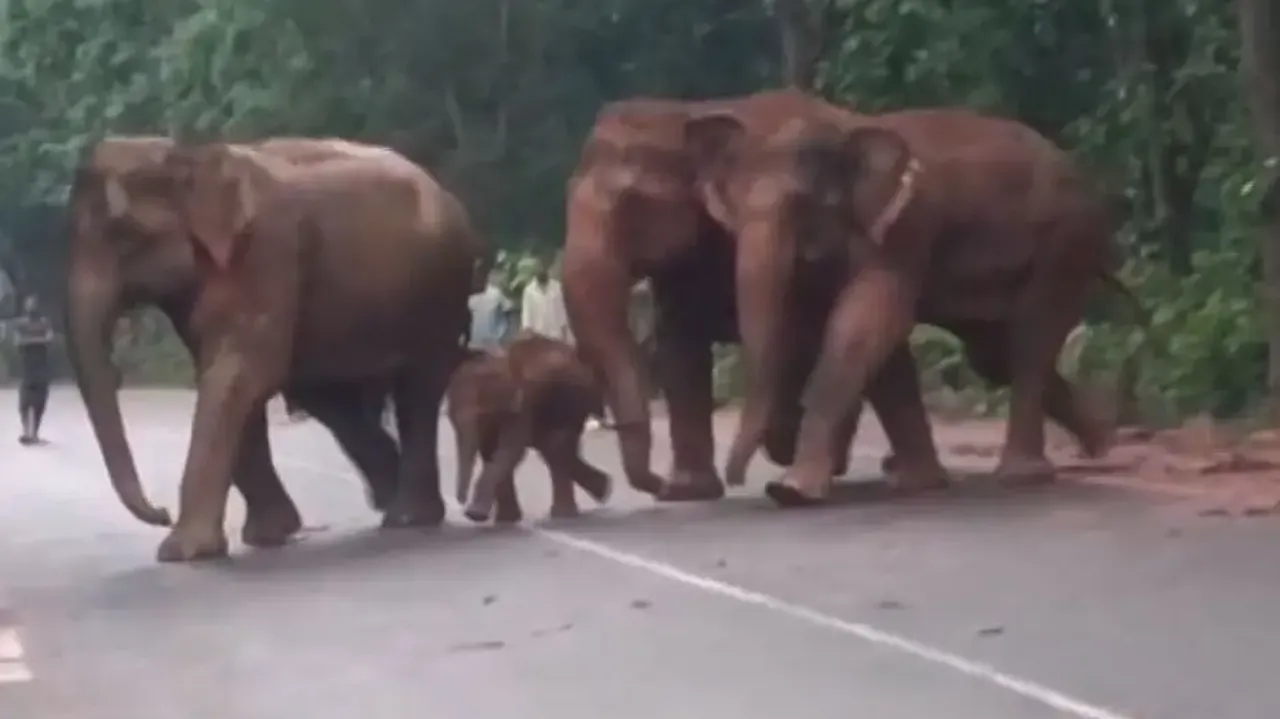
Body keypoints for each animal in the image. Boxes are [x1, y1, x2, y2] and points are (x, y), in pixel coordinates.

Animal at [66, 136, 484, 562]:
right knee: (326, 394)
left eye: (124, 235)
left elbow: (238, 372)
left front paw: (182, 552)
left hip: (439, 291)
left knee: (417, 390)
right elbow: (229, 378)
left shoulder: (267, 251)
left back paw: (407, 517)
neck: (190, 156)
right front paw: (267, 535)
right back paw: (387, 498)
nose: (161, 512)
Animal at [448, 332, 613, 524]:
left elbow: (509, 451)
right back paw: (602, 490)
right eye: (450, 418)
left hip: (576, 400)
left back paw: (569, 510)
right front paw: (505, 520)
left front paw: (475, 514)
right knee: (553, 448)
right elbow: (491, 452)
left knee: (556, 446)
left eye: (483, 415)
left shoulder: (522, 406)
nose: (461, 503)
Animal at [560, 90, 947, 504]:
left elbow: (794, 334)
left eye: (633, 205)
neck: (683, 112)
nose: (655, 485)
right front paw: (687, 491)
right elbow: (680, 345)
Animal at [679, 95, 1130, 506]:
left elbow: (865, 321)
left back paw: (1025, 475)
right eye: (732, 209)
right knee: (994, 354)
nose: (736, 480)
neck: (844, 128)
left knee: (1030, 338)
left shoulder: (906, 226)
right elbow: (880, 342)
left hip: (1067, 241)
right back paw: (1101, 443)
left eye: (805, 204)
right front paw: (919, 484)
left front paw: (792, 490)